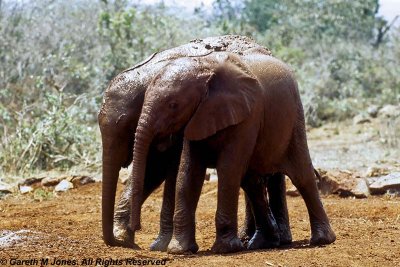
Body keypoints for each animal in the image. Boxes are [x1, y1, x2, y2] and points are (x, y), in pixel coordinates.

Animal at [97, 35, 290, 251]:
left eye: (128, 125)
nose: (136, 227)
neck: (149, 74)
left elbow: (170, 171)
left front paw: (160, 245)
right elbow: (152, 171)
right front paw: (125, 238)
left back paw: (276, 240)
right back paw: (250, 239)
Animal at [126, 48, 336, 255]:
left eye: (173, 105)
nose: (136, 227)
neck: (203, 68)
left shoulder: (248, 115)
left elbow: (228, 168)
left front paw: (225, 249)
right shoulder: (196, 117)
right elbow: (188, 172)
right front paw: (180, 250)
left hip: (294, 120)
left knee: (301, 176)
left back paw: (322, 240)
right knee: (252, 182)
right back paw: (264, 242)